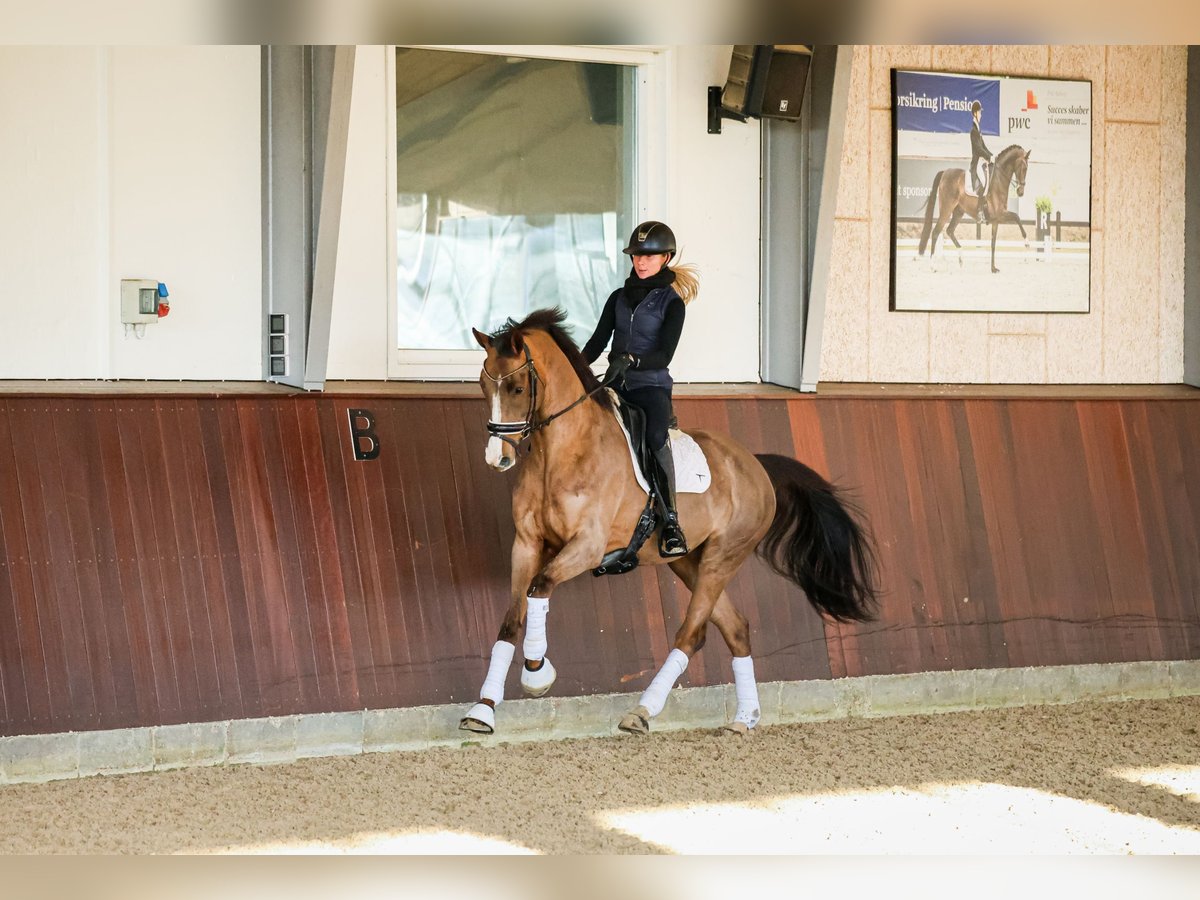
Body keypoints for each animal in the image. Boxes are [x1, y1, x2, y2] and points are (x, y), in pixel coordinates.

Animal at [453, 309, 878, 739]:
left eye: (517, 388)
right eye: (483, 385)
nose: (498, 458)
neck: (563, 452)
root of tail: (755, 464)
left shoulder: (587, 546)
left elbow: (540, 588)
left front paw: (537, 673)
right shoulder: (526, 544)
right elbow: (511, 620)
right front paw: (483, 709)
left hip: (723, 556)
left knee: (692, 633)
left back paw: (642, 711)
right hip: (688, 561)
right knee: (735, 628)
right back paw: (743, 719)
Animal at [916, 141, 1032, 273]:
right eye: (1024, 168)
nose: (1020, 192)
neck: (998, 180)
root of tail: (945, 172)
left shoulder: (996, 220)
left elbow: (993, 243)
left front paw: (993, 268)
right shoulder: (1000, 213)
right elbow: (1017, 217)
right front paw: (1027, 243)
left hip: (958, 212)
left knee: (949, 230)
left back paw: (961, 258)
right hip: (946, 210)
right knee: (936, 232)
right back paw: (933, 266)